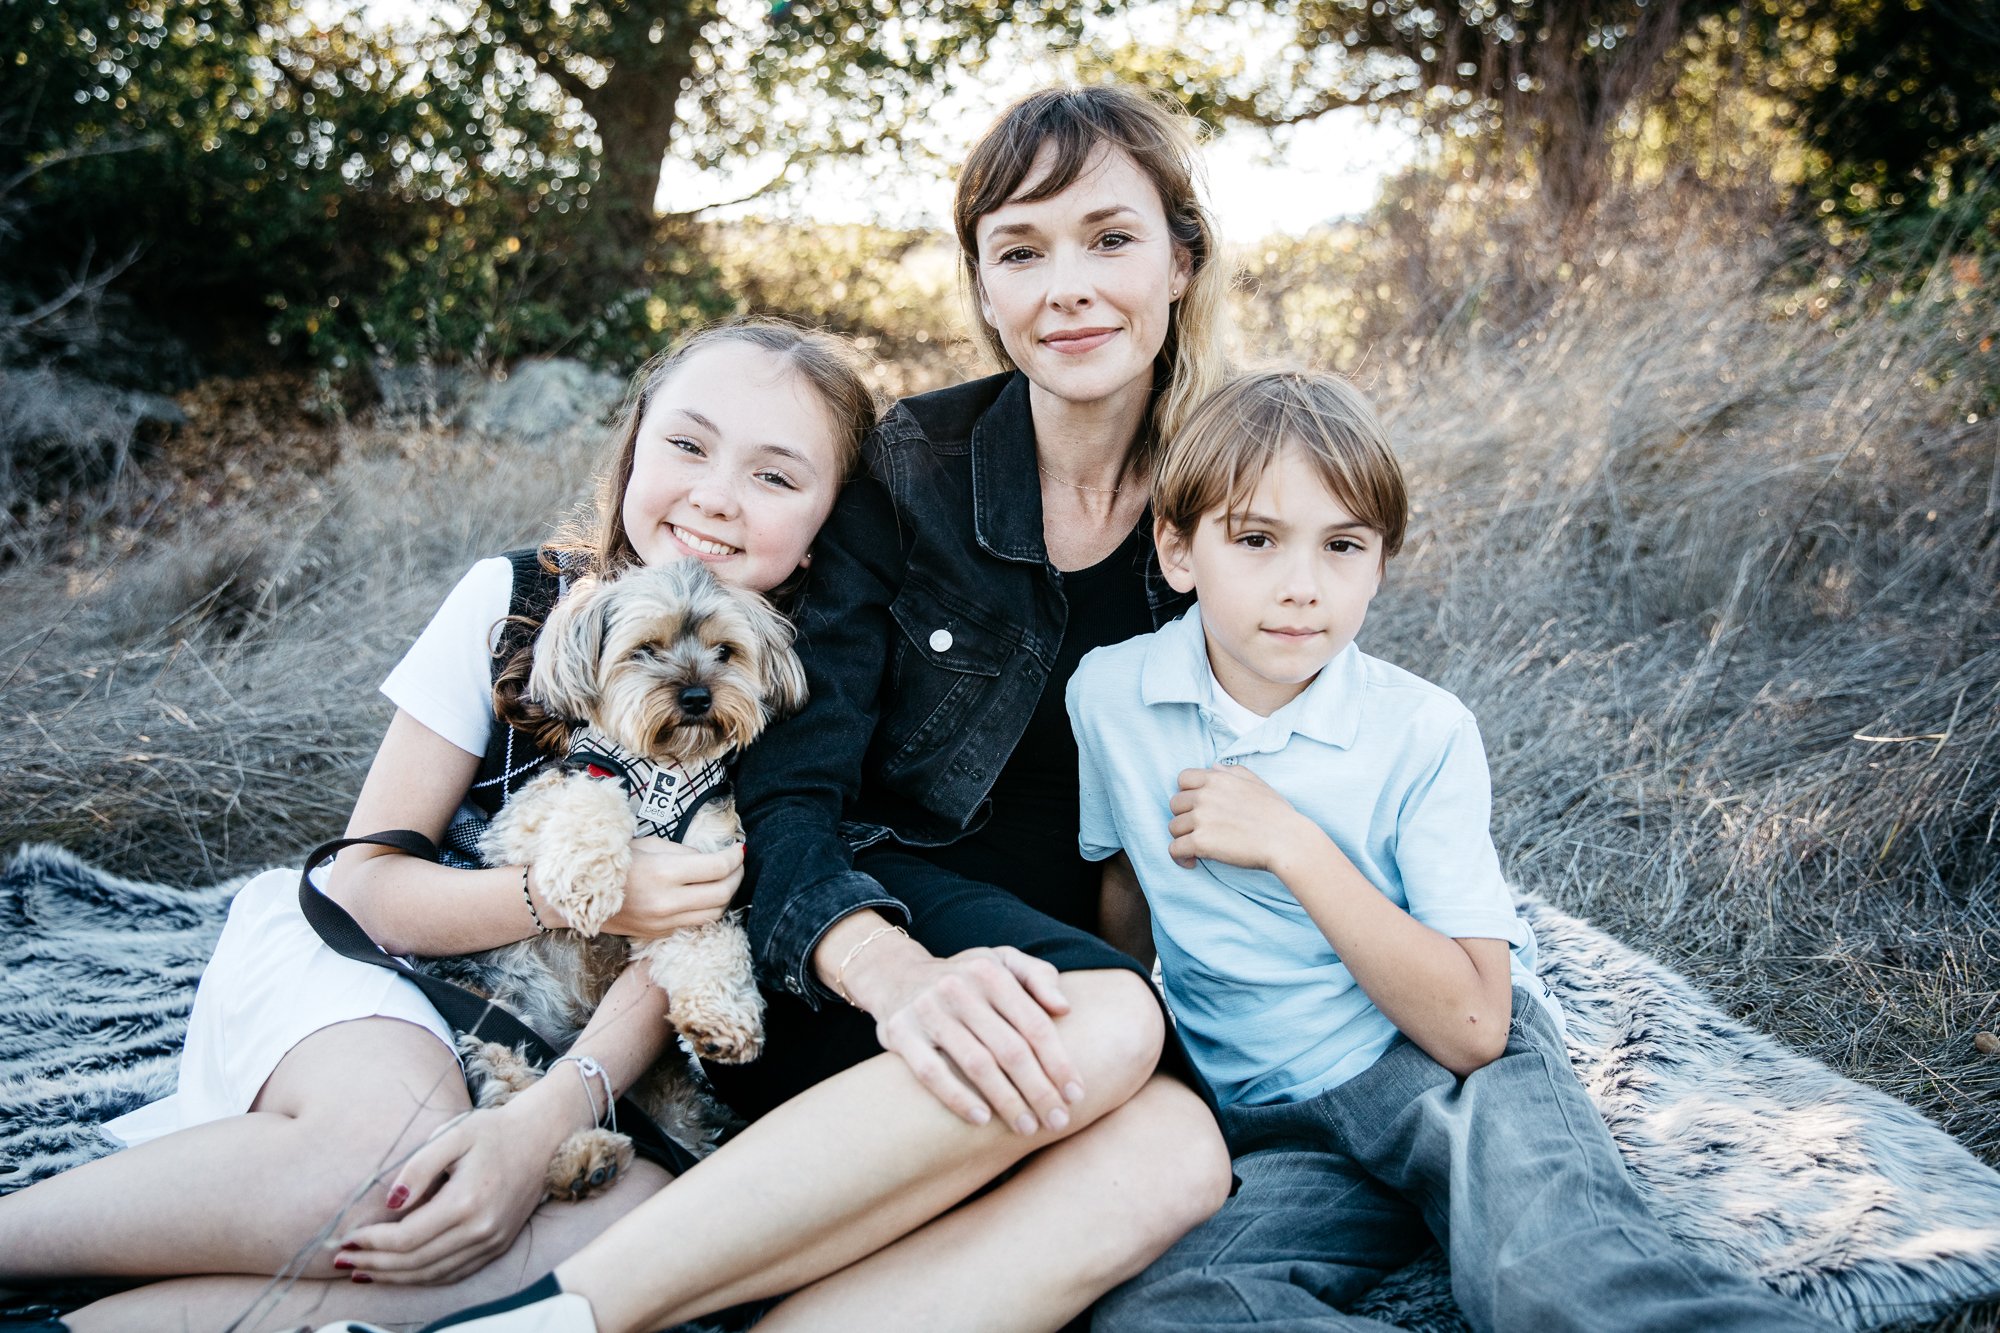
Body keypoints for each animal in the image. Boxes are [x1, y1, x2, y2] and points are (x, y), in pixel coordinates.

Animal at [448, 556, 804, 1200]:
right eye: (645, 650)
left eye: (725, 651)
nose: (697, 696)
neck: (663, 770)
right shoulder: (524, 819)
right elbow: (595, 798)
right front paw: (589, 884)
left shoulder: (709, 871)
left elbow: (711, 946)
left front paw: (721, 1020)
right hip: (496, 1016)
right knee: (511, 1090)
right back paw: (580, 1158)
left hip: (672, 1101)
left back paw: (591, 1159)